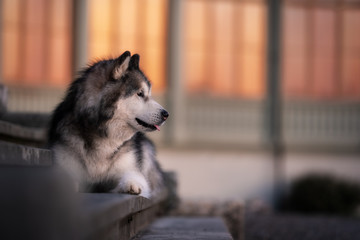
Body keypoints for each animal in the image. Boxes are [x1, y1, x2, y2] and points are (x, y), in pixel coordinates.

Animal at [47, 51, 169, 198]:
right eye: (140, 93)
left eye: (148, 94)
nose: (166, 114)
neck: (103, 136)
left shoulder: (130, 167)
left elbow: (134, 177)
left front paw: (131, 184)